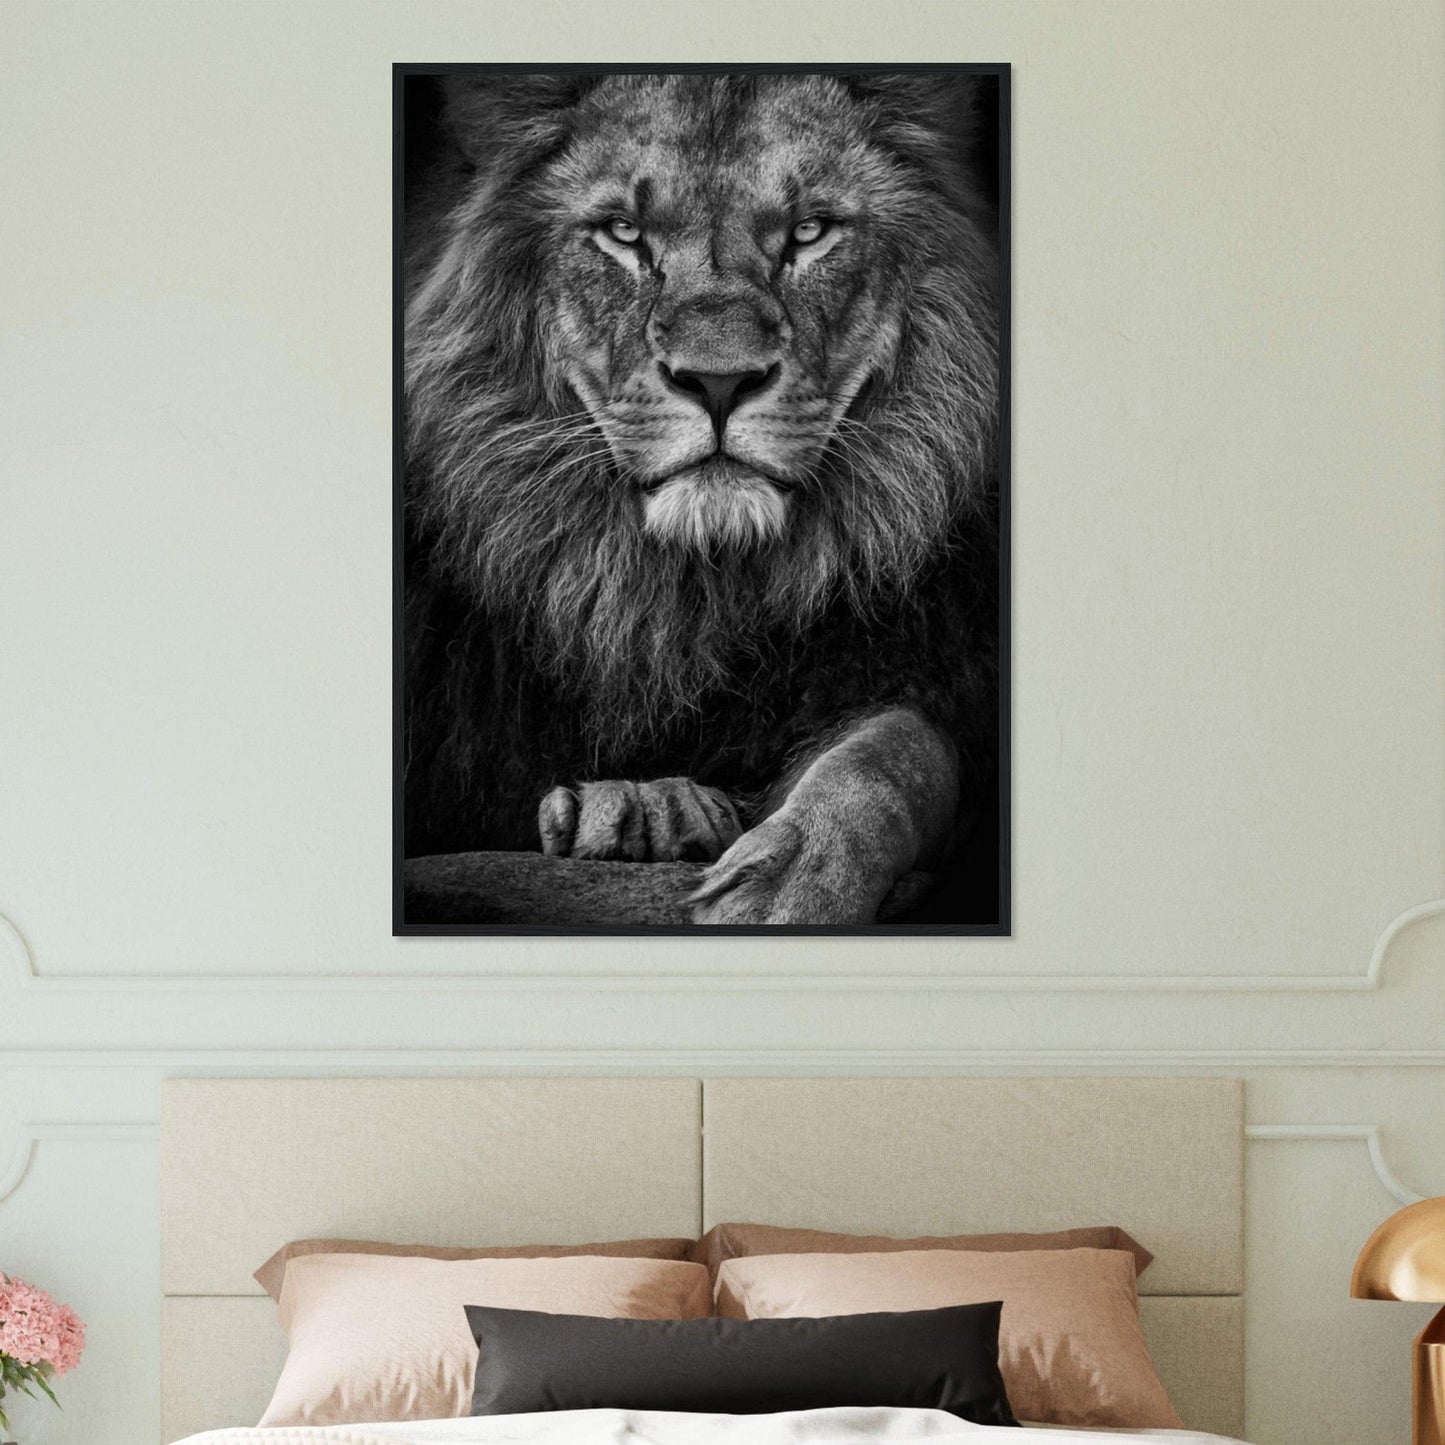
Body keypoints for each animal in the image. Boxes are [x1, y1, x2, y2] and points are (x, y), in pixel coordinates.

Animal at [402, 71, 1001, 926]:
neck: (679, 597)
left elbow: (895, 752)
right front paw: (636, 811)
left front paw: (793, 879)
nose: (719, 381)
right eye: (622, 233)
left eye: (809, 232)